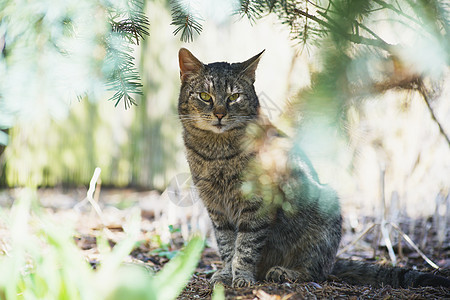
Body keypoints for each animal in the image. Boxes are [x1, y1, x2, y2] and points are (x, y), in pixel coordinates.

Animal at [177, 48, 450, 288]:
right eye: (205, 96)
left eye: (234, 97)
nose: (219, 114)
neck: (217, 154)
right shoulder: (216, 209)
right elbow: (226, 246)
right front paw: (225, 273)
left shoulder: (257, 203)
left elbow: (245, 246)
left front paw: (242, 276)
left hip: (325, 215)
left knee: (316, 271)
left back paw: (285, 272)